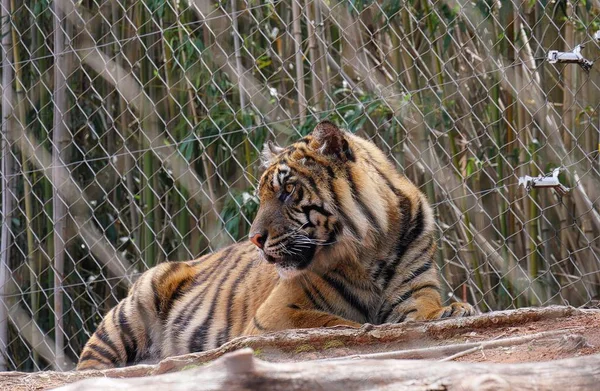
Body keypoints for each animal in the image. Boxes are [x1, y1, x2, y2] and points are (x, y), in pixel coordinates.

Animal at [77, 120, 474, 370]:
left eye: (287, 190)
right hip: (134, 305)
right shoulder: (276, 315)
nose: (255, 239)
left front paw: (453, 310)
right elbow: (331, 325)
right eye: (262, 195)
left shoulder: (414, 290)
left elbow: (423, 312)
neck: (370, 247)